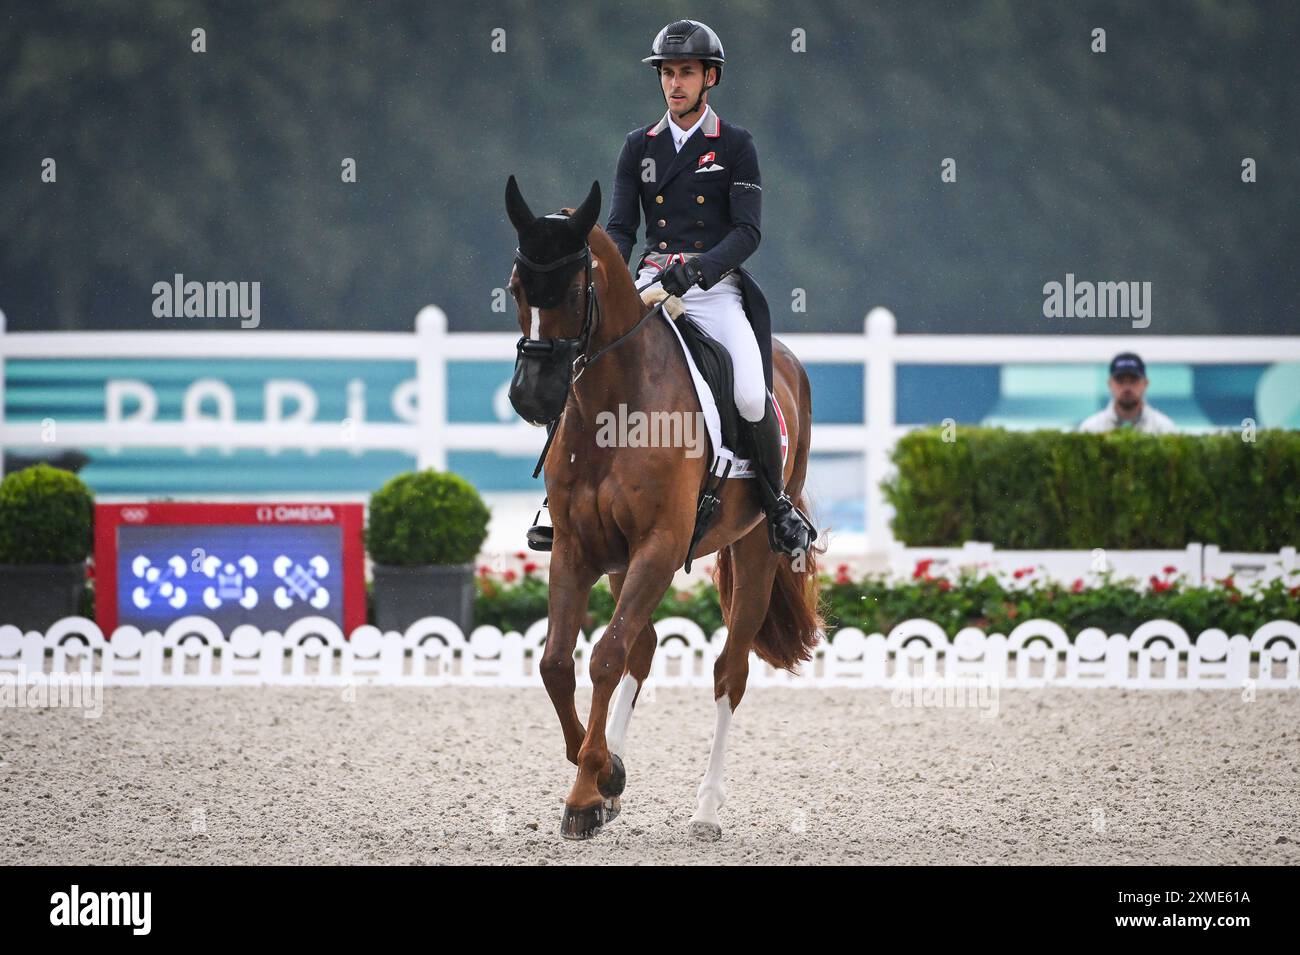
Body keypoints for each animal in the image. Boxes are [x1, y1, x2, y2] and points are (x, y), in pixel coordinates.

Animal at [501, 175, 816, 841]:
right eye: (516, 288)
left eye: (574, 290)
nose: (531, 397)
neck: (614, 404)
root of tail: (786, 359)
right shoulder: (577, 549)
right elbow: (558, 663)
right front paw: (602, 779)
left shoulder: (660, 548)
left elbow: (604, 657)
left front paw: (589, 791)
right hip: (622, 564)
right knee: (641, 652)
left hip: (754, 549)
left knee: (728, 671)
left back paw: (706, 810)